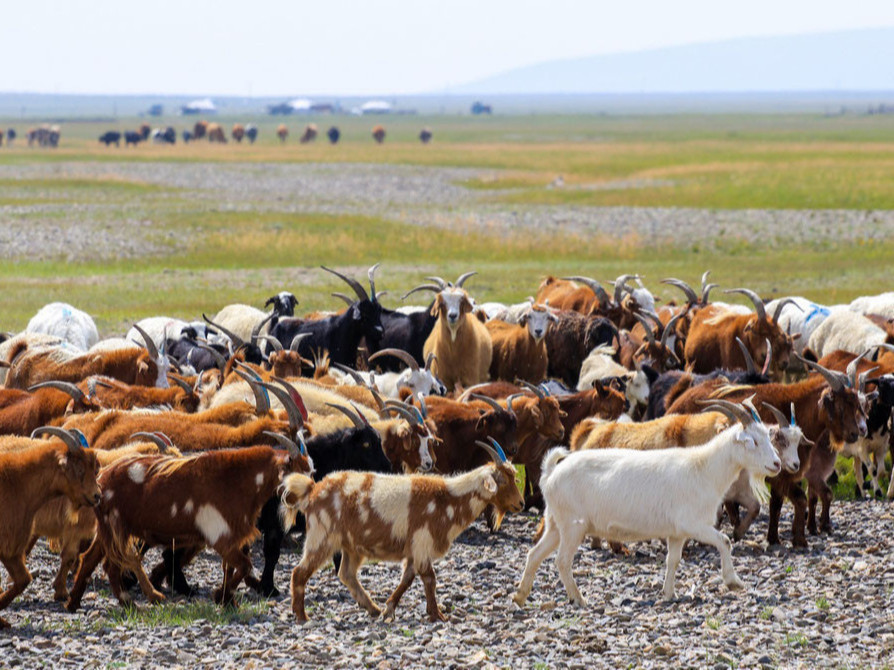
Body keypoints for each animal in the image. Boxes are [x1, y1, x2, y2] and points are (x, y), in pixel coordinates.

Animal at [288, 440, 524, 624]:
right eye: (503, 480)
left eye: (514, 477)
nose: (521, 504)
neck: (447, 499)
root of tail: (312, 490)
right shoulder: (422, 543)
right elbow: (429, 579)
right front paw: (437, 615)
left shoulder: (414, 551)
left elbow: (407, 580)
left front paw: (388, 609)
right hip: (321, 537)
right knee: (300, 572)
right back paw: (301, 616)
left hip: (351, 546)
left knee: (346, 573)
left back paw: (372, 608)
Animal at [512, 402, 784, 608]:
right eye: (753, 441)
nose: (777, 464)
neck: (703, 468)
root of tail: (550, 474)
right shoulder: (694, 524)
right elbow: (725, 541)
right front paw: (733, 582)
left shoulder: (677, 533)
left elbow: (673, 560)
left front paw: (669, 593)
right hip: (573, 525)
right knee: (562, 561)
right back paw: (578, 599)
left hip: (555, 523)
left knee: (535, 554)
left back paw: (520, 596)